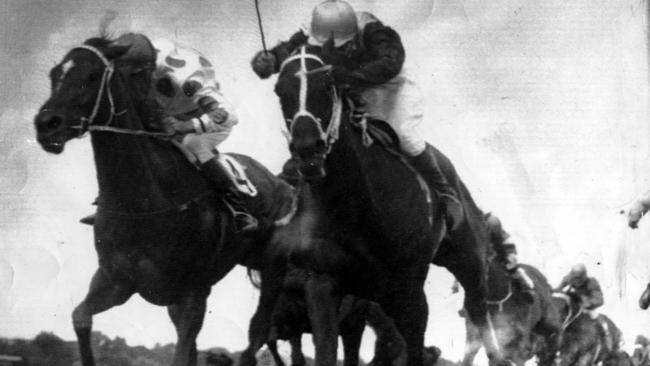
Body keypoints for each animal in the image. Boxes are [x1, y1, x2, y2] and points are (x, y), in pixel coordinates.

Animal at [32, 34, 292, 366]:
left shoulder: (193, 293)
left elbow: (183, 351)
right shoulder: (115, 282)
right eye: (54, 75)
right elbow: (80, 317)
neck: (145, 204)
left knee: (258, 331)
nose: (46, 124)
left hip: (271, 267)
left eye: (92, 75)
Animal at [243, 45, 502, 366]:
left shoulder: (407, 291)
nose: (307, 149)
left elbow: (412, 348)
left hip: (469, 263)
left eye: (327, 85)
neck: (359, 211)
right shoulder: (323, 284)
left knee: (478, 313)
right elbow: (326, 348)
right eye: (280, 90)